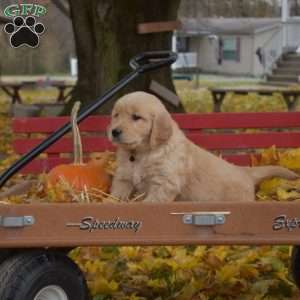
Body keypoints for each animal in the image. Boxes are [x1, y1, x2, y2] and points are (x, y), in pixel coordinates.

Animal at [108, 91, 298, 203]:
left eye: (136, 117)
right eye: (116, 115)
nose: (114, 131)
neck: (142, 152)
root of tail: (245, 171)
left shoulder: (164, 183)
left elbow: (150, 203)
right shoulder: (124, 178)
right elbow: (116, 195)